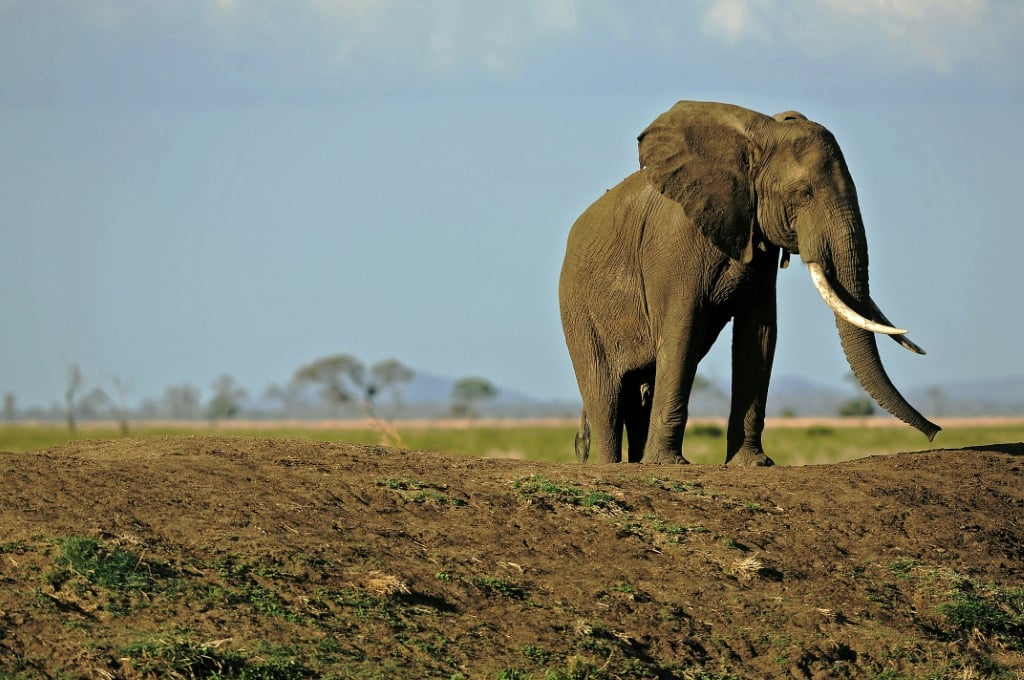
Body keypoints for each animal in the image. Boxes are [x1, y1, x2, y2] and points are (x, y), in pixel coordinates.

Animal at [558, 100, 940, 466]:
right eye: (804, 194)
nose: (935, 431)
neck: (757, 137)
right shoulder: (674, 245)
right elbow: (682, 333)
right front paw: (668, 464)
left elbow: (759, 333)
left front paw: (754, 464)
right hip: (577, 308)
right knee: (605, 392)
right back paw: (613, 464)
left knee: (640, 389)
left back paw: (637, 462)